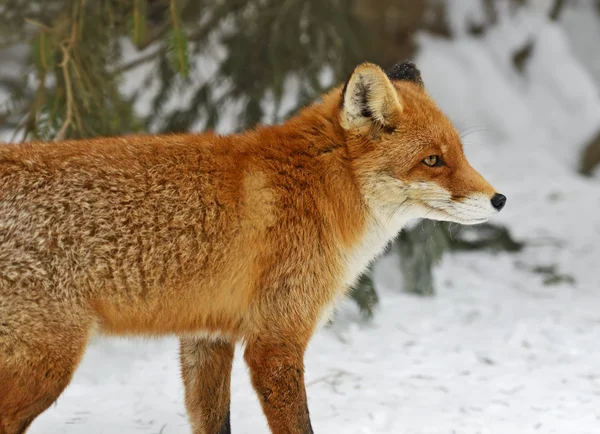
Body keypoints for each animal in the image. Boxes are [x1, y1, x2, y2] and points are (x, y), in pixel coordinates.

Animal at [0, 62, 506, 434]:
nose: (499, 199)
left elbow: (213, 422)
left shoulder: (208, 335)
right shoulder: (274, 340)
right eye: (433, 161)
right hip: (46, 363)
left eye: (460, 153)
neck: (317, 191)